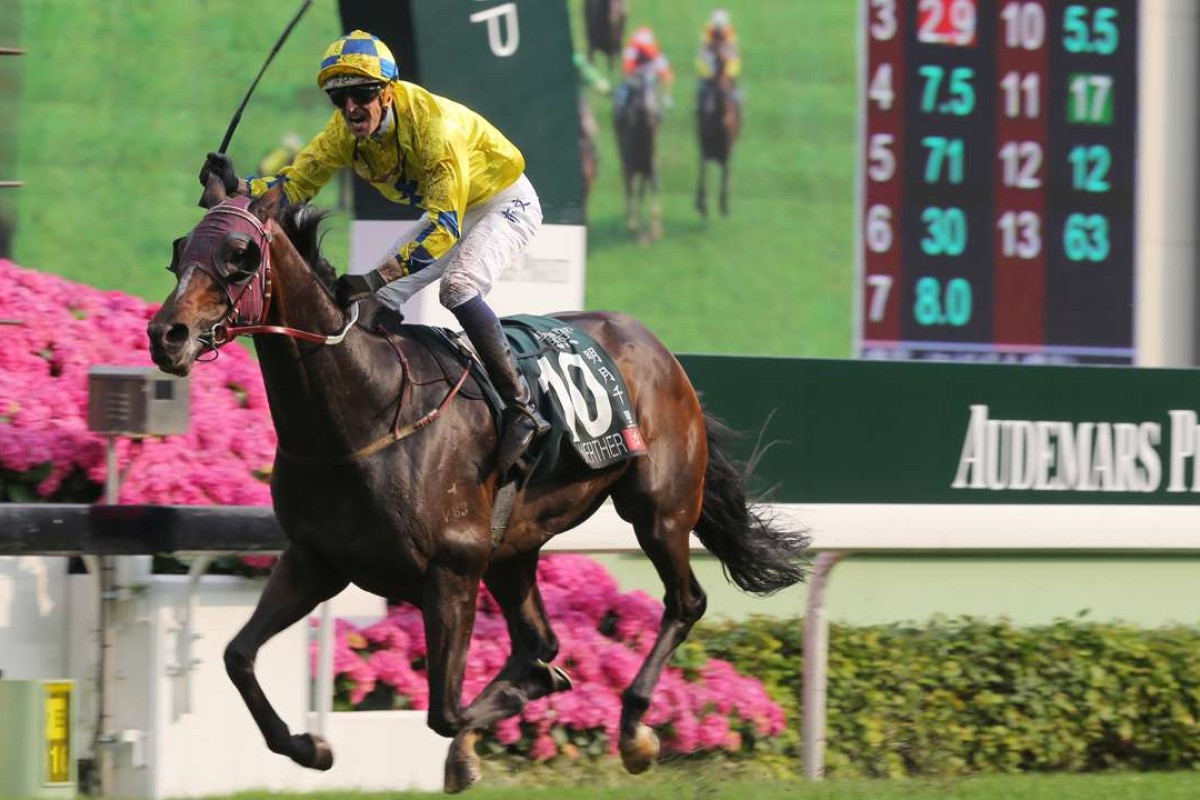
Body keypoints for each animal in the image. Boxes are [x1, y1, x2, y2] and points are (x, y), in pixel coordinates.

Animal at [147, 183, 806, 796]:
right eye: (179, 250)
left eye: (240, 255)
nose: (167, 334)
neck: (364, 411)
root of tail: (659, 348)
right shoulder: (317, 561)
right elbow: (237, 656)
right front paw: (310, 746)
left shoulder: (452, 571)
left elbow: (445, 710)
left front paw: (506, 713)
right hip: (514, 549)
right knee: (541, 636)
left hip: (658, 510)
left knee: (684, 602)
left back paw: (633, 728)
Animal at [614, 67, 662, 244]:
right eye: (637, 89)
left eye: (654, 84)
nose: (644, 109)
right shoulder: (629, 163)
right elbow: (630, 189)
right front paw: (633, 225)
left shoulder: (651, 163)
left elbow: (652, 186)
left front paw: (655, 231)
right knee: (630, 187)